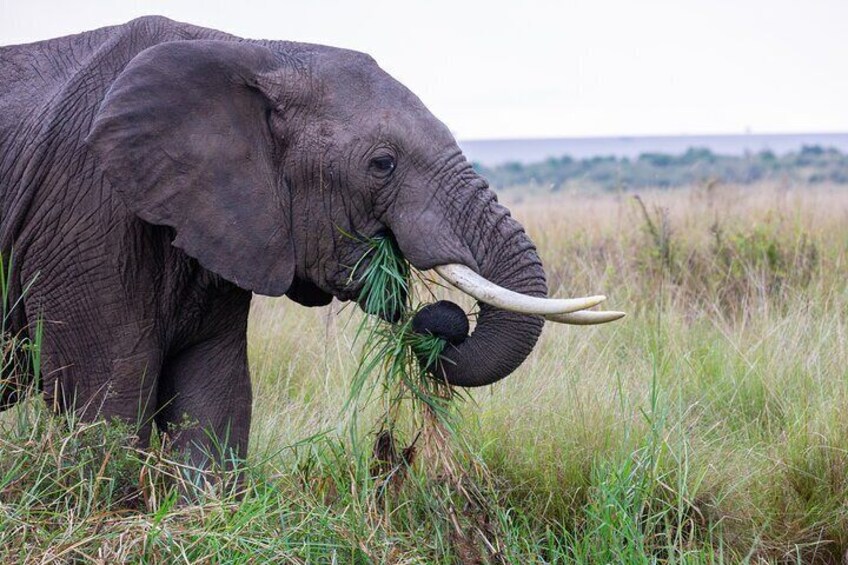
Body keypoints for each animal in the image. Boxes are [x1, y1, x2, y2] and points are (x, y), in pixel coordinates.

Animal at [0, 16, 622, 465]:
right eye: (382, 164)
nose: (438, 320)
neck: (255, 50)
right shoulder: (87, 211)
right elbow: (106, 405)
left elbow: (217, 400)